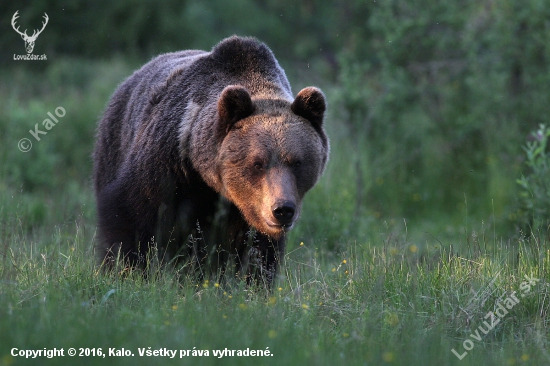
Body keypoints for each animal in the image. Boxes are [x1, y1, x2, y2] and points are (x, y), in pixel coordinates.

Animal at [92, 35, 330, 286]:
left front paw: (253, 282)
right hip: (113, 148)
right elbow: (131, 216)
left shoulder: (248, 215)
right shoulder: (166, 165)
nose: (282, 210)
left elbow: (257, 251)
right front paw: (128, 272)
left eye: (297, 162)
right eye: (257, 163)